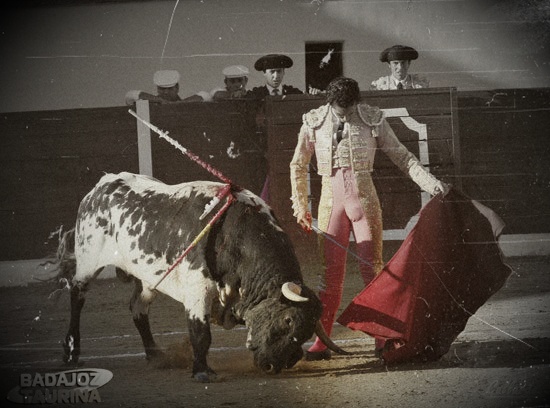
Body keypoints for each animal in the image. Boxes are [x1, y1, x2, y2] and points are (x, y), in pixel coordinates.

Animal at [55, 172, 344, 382]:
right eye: (287, 320)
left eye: (307, 332)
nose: (273, 365)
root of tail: (100, 187)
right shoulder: (198, 291)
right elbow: (201, 333)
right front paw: (202, 371)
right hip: (87, 261)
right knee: (77, 297)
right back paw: (71, 352)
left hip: (149, 279)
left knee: (137, 308)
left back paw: (155, 355)